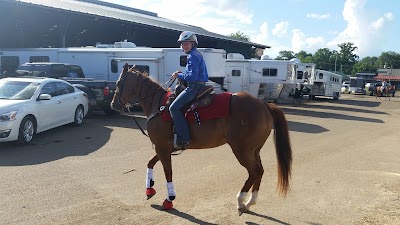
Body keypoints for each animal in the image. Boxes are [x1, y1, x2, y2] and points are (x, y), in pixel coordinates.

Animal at [111, 63, 292, 214]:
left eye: (119, 83)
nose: (113, 105)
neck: (159, 106)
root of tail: (264, 105)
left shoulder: (162, 147)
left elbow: (168, 172)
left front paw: (169, 199)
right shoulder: (164, 147)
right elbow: (150, 163)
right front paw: (149, 190)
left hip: (242, 150)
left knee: (254, 171)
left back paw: (240, 201)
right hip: (255, 150)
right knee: (260, 171)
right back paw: (249, 202)